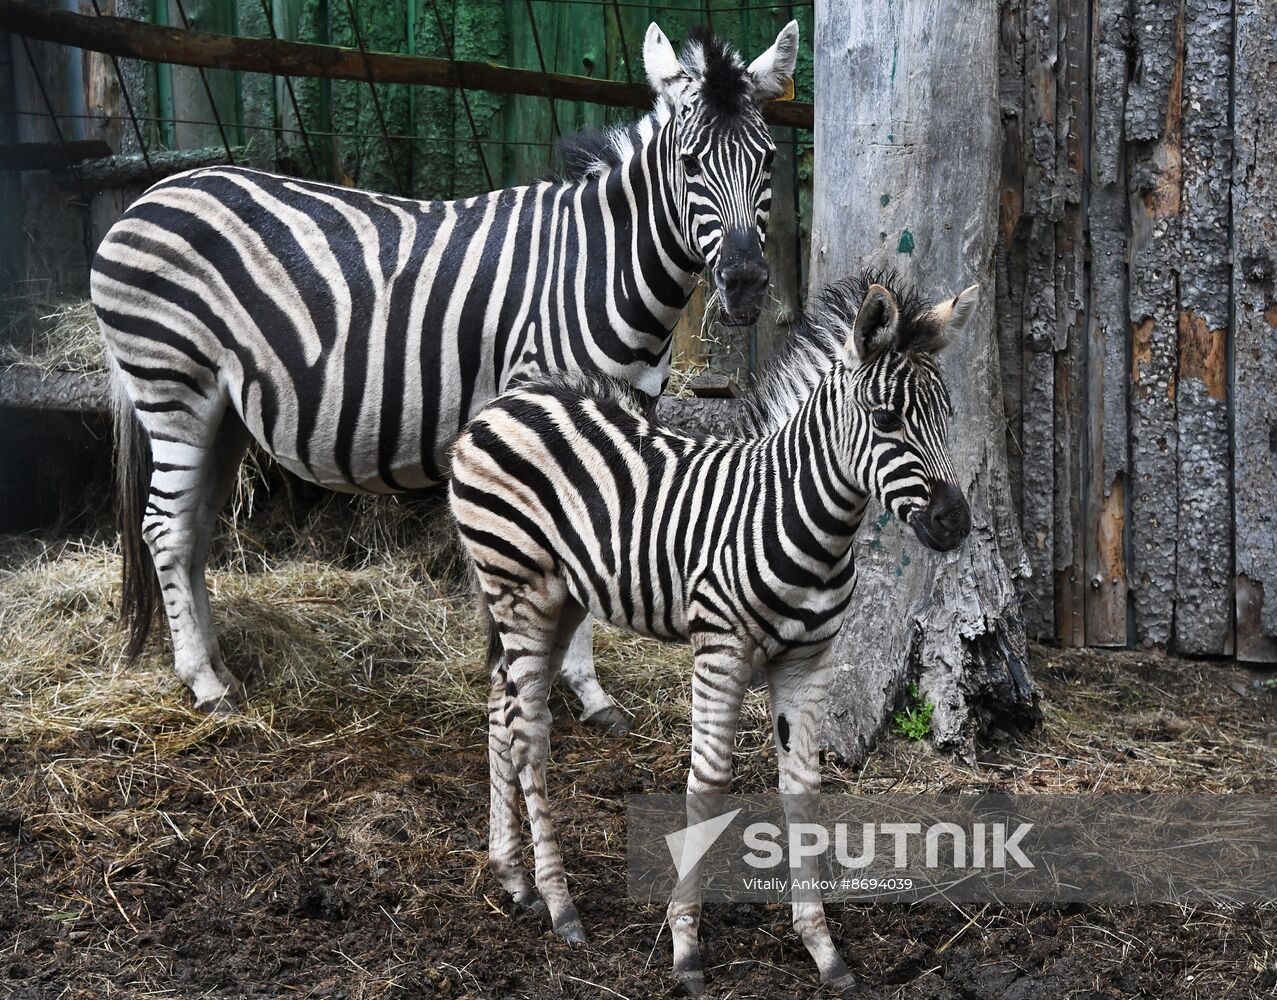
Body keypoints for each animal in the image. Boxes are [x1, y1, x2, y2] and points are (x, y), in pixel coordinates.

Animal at [449, 269, 975, 991]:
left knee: (501, 708)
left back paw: (513, 878)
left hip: (557, 597)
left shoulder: (809, 659)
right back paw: (560, 906)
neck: (801, 516)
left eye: (947, 415)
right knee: (530, 730)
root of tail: (506, 401)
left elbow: (802, 789)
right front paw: (685, 945)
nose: (956, 524)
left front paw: (822, 949)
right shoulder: (719, 649)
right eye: (886, 418)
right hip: (517, 586)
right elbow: (708, 784)